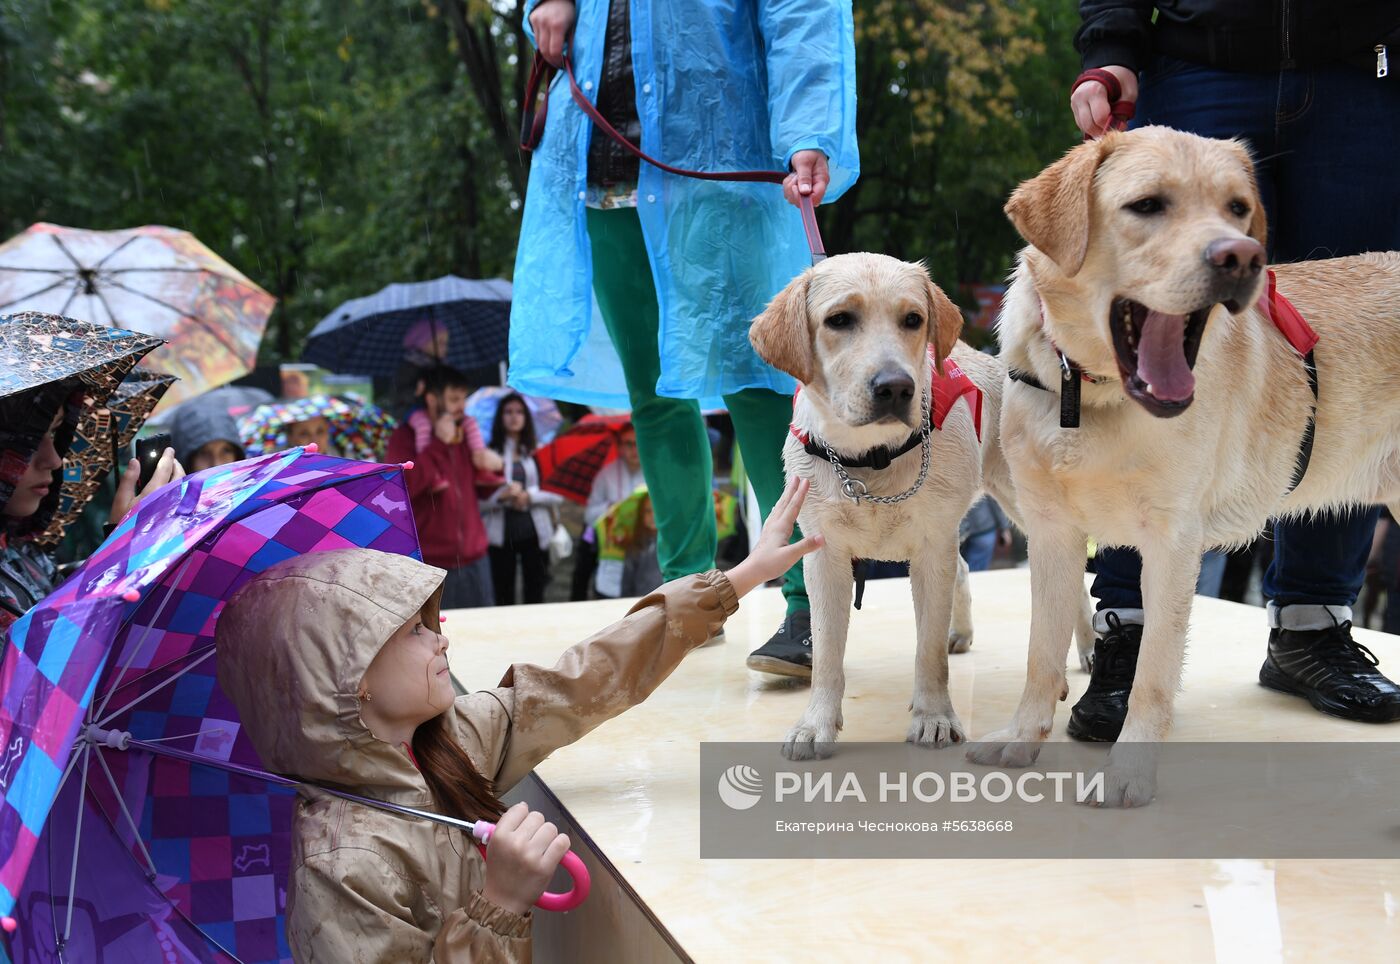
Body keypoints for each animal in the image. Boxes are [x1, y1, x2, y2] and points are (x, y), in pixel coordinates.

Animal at [750, 253, 1097, 761]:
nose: (895, 387)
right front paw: (816, 724)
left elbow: (928, 651)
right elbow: (829, 656)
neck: (870, 459)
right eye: (839, 320)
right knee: (966, 570)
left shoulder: (931, 548)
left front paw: (934, 717)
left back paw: (1088, 649)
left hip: (1028, 506)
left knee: (1068, 585)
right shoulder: (824, 555)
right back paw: (962, 632)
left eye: (913, 319)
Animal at [968, 128, 1400, 805]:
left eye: (1237, 209)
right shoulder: (1050, 533)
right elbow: (1043, 653)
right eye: (1147, 205)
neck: (1090, 395)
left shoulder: (1173, 541)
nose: (1243, 257)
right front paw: (1022, 736)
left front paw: (1128, 772)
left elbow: (1152, 672)